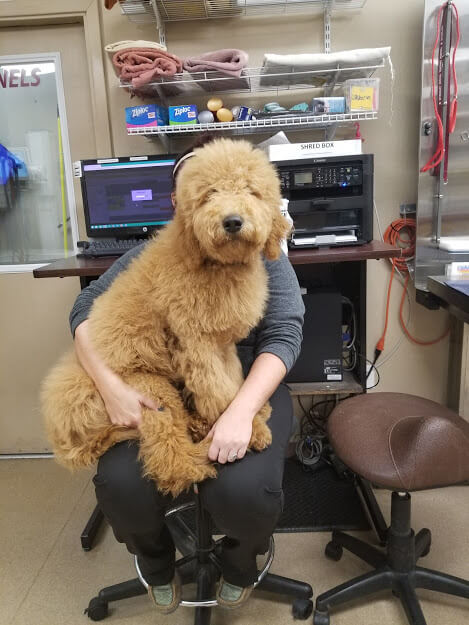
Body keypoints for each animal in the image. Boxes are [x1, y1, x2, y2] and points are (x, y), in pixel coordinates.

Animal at [42, 139, 288, 494]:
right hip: (149, 392)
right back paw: (199, 452)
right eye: (209, 194)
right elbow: (217, 391)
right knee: (172, 461)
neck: (212, 264)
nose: (232, 221)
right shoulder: (196, 344)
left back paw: (199, 425)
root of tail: (64, 437)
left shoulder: (221, 344)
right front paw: (251, 429)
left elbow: (233, 381)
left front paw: (250, 411)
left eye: (251, 191)